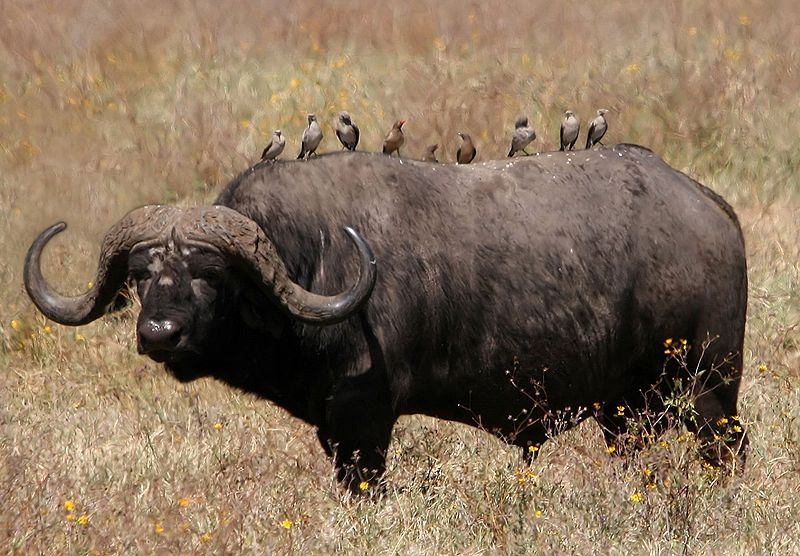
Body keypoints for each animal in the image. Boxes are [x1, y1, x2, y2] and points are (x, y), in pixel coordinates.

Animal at [24, 144, 748, 491]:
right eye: (143, 274)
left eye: (210, 276)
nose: (159, 334)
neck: (314, 259)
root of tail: (709, 206)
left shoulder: (363, 422)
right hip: (627, 411)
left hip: (709, 388)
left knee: (729, 451)